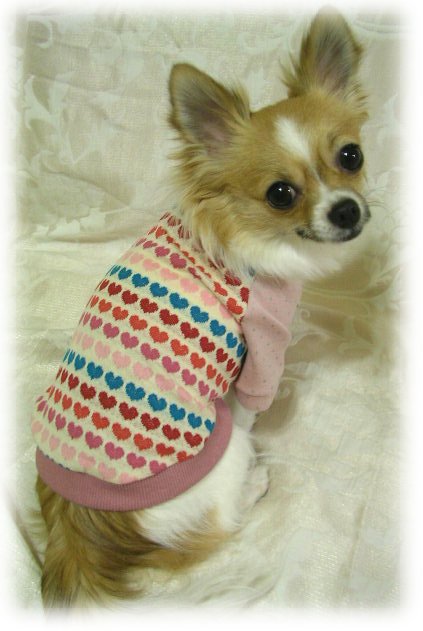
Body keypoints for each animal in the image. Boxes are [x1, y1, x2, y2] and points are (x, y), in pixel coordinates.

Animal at [32, 8, 370, 607]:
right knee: (222, 522)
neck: (251, 234)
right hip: (221, 449)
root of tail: (83, 526)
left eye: (350, 156)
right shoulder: (262, 347)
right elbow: (254, 404)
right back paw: (254, 483)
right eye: (280, 194)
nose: (347, 210)